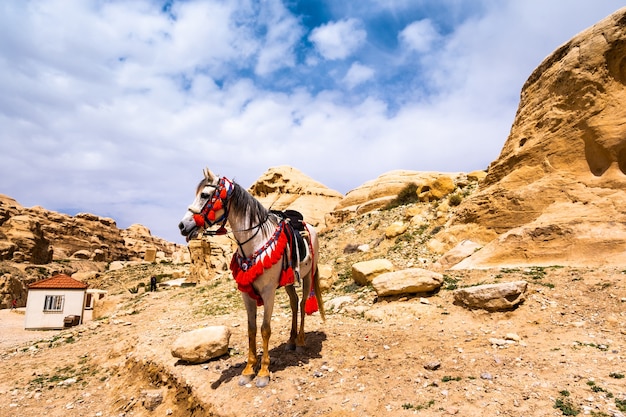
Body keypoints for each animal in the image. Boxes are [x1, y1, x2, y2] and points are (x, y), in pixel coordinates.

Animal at [176, 168, 322, 386]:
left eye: (205, 195)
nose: (182, 225)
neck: (255, 242)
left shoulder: (268, 292)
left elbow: (265, 329)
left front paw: (263, 372)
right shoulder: (246, 294)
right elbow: (251, 329)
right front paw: (248, 369)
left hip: (307, 276)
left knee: (304, 303)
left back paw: (301, 342)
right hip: (288, 281)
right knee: (294, 303)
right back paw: (291, 340)